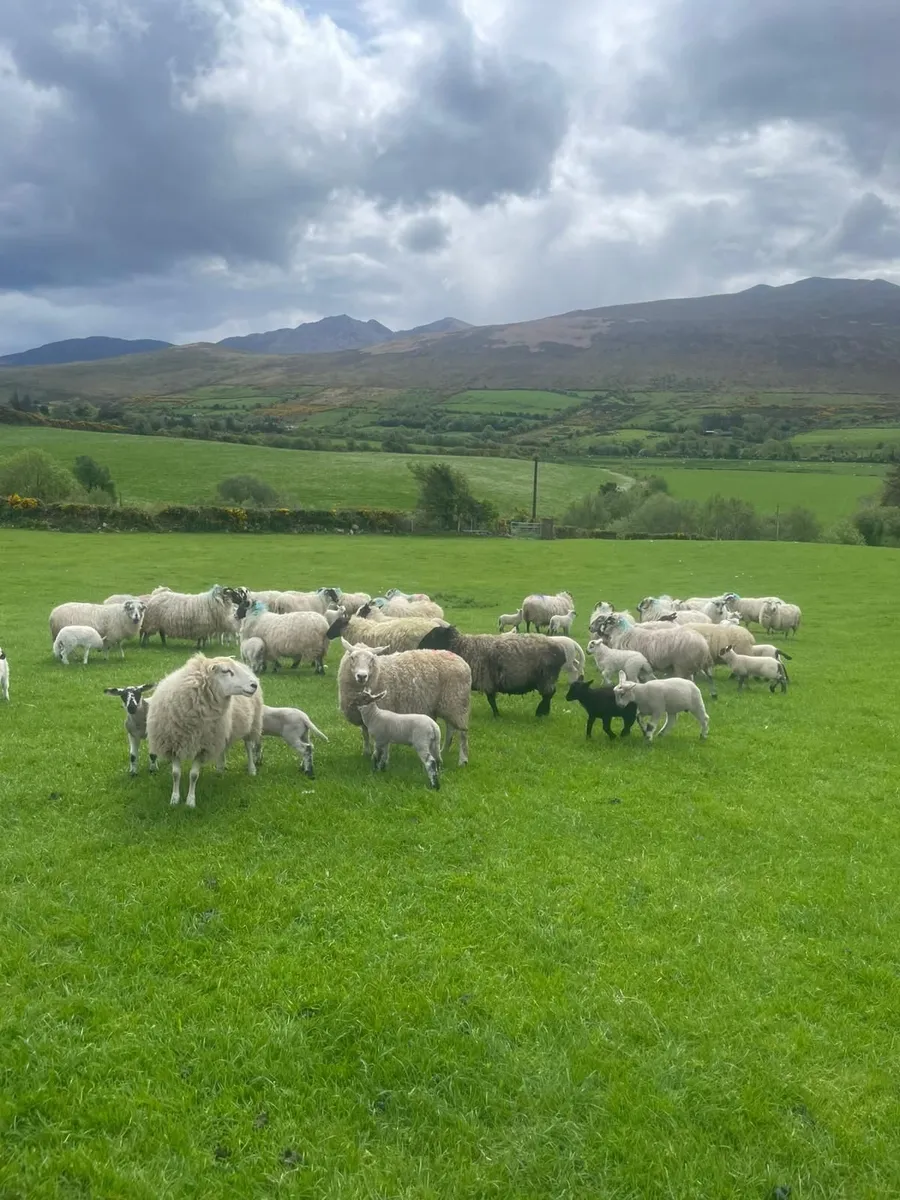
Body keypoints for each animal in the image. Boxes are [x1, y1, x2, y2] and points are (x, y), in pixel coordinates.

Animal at [146, 655, 262, 809]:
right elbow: (175, 774)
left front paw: (190, 801)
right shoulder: (173, 744)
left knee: (248, 747)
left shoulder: (203, 747)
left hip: (252, 723)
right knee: (222, 749)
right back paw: (220, 768)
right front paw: (174, 799)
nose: (254, 685)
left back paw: (252, 769)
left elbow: (194, 775)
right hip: (220, 732)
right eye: (226, 671)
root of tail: (244, 664)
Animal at [338, 639, 471, 764]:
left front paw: (378, 756)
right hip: (447, 704)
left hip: (457, 702)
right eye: (352, 658)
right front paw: (366, 752)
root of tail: (461, 661)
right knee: (450, 728)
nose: (361, 676)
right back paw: (444, 750)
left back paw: (463, 760)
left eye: (372, 659)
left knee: (462, 733)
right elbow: (365, 734)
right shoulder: (361, 716)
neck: (379, 674)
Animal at [416, 625, 567, 718]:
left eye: (432, 636)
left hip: (546, 676)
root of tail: (560, 650)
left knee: (548, 694)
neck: (462, 646)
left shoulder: (487, 679)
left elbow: (491, 700)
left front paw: (496, 715)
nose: (418, 647)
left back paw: (541, 712)